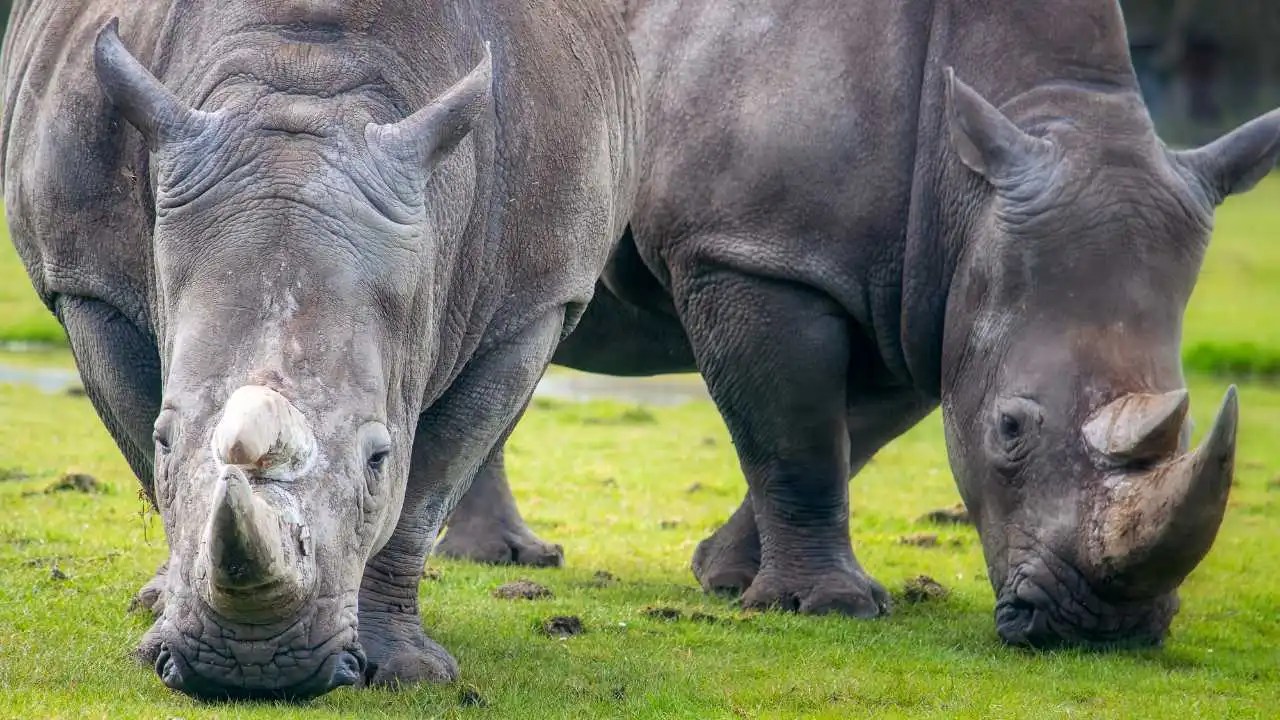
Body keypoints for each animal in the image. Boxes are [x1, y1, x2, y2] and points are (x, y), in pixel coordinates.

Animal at [1, 0, 639, 700]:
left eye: (377, 459)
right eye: (167, 438)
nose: (253, 667)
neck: (304, 81)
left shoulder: (537, 303)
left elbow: (429, 481)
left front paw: (407, 673)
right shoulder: (86, 283)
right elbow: (145, 454)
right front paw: (153, 642)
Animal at [441, 0, 1278, 647]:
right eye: (1010, 429)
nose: (1103, 627)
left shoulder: (924, 299)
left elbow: (848, 437)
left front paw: (728, 577)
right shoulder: (753, 252)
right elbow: (798, 437)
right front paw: (828, 607)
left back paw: (506, 559)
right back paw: (500, 561)